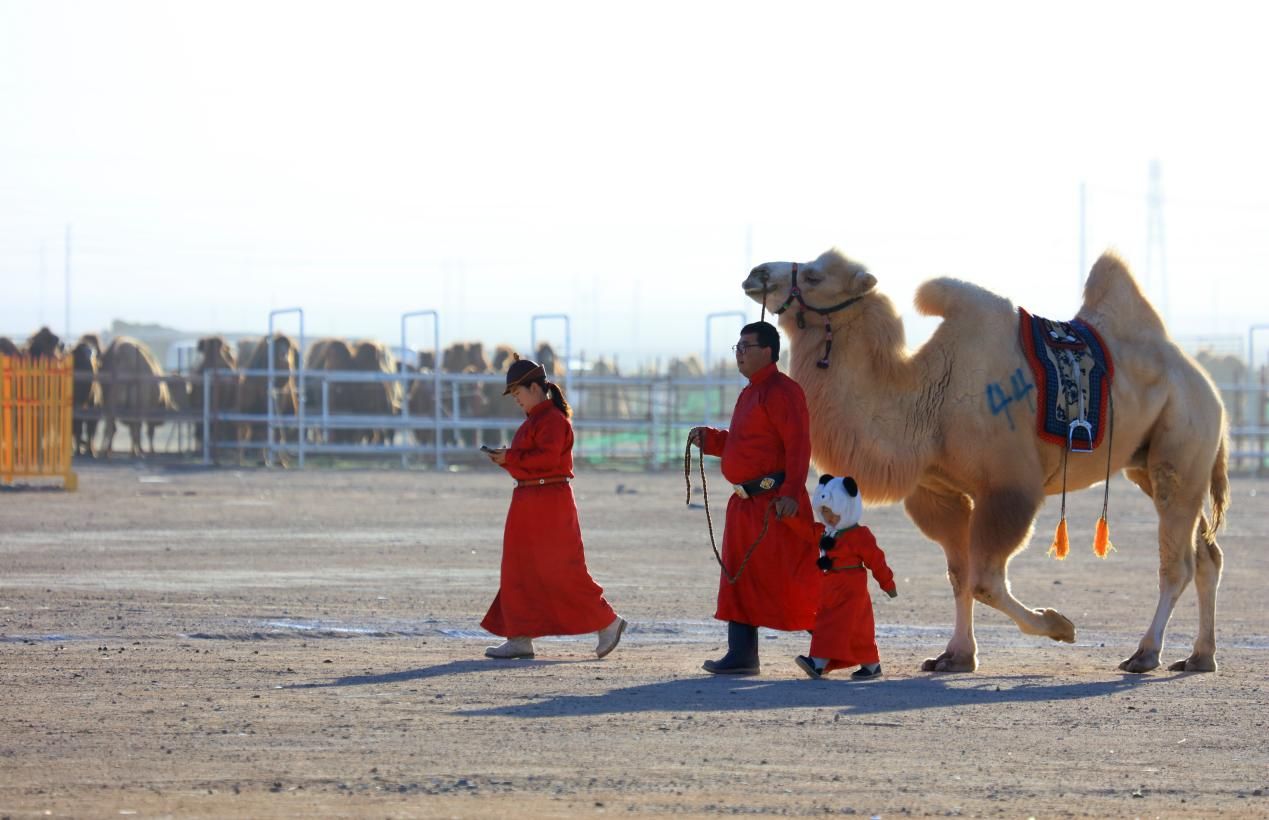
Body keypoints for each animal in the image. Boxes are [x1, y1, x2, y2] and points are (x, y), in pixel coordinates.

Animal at [741, 248, 1228, 675]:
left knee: (1177, 563)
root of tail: (1204, 382)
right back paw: (1200, 657)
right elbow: (960, 575)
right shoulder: (938, 492)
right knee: (1207, 554)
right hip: (1149, 463)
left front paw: (1060, 625)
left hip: (1181, 445)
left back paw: (1145, 654)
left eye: (814, 276)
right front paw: (955, 656)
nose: (755, 273)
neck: (926, 399)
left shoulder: (1008, 488)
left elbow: (984, 580)